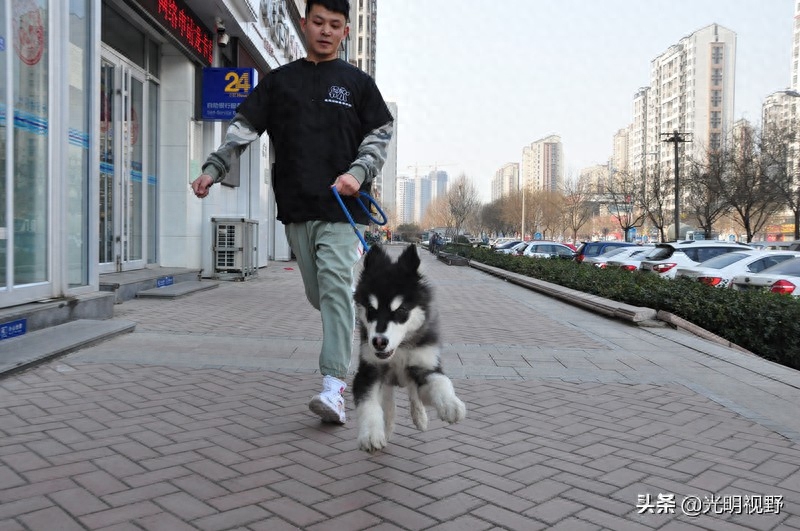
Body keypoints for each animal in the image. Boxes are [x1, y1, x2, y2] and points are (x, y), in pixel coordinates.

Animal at [354, 245, 466, 454]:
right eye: (371, 310)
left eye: (401, 311)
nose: (379, 342)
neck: (400, 349)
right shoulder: (369, 371)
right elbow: (368, 403)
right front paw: (371, 434)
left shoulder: (424, 365)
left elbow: (441, 382)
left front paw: (451, 404)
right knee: (388, 400)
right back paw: (388, 424)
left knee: (413, 393)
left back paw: (420, 417)